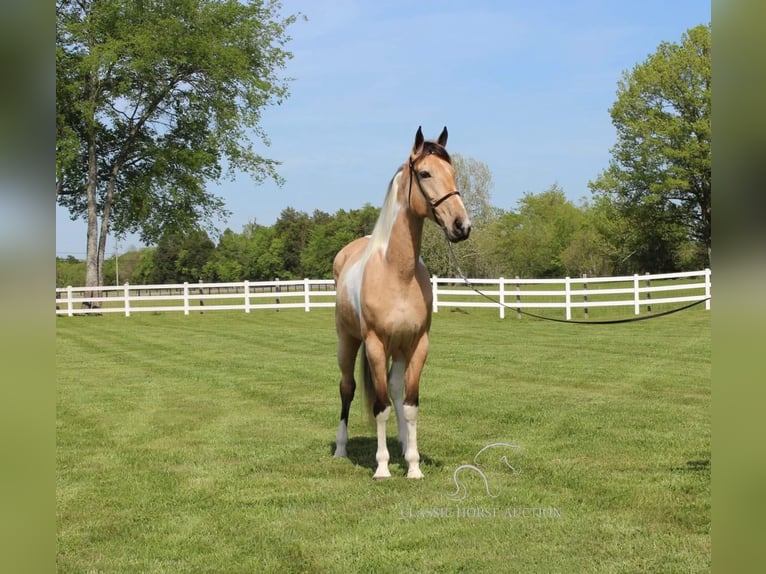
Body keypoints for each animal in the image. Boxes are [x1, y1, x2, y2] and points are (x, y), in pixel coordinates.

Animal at [332, 127, 472, 482]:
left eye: (453, 173)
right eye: (425, 174)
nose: (461, 226)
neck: (397, 272)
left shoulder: (418, 344)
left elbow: (409, 405)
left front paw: (413, 464)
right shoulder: (375, 345)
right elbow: (379, 407)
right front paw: (382, 467)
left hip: (398, 349)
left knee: (394, 390)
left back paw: (402, 441)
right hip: (348, 342)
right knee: (347, 387)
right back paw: (340, 449)